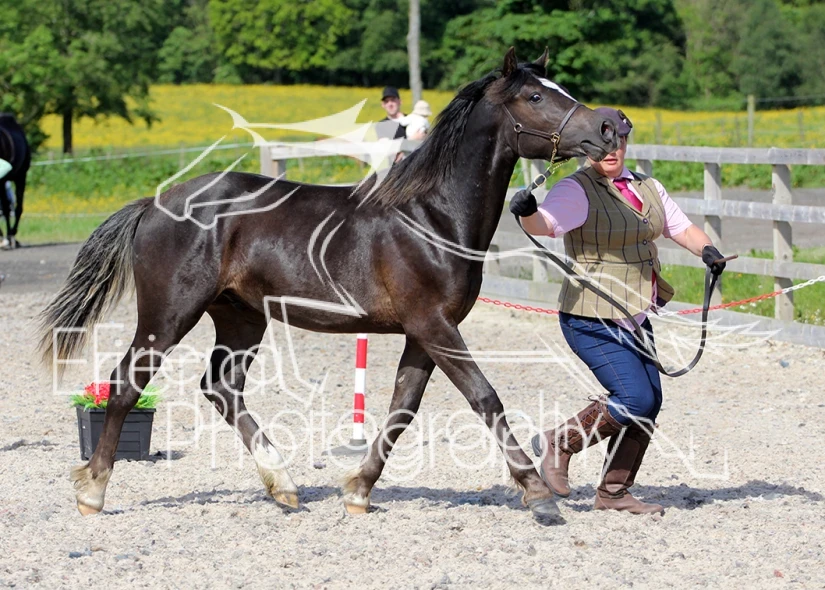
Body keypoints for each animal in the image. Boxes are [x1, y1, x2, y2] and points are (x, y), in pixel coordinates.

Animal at [38, 48, 618, 521]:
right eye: (536, 95)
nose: (610, 127)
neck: (432, 216)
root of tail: (155, 203)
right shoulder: (435, 326)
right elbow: (485, 397)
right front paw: (538, 495)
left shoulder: (423, 332)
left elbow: (402, 408)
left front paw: (358, 490)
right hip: (168, 315)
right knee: (124, 385)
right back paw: (93, 492)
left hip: (242, 318)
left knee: (221, 386)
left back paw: (284, 485)